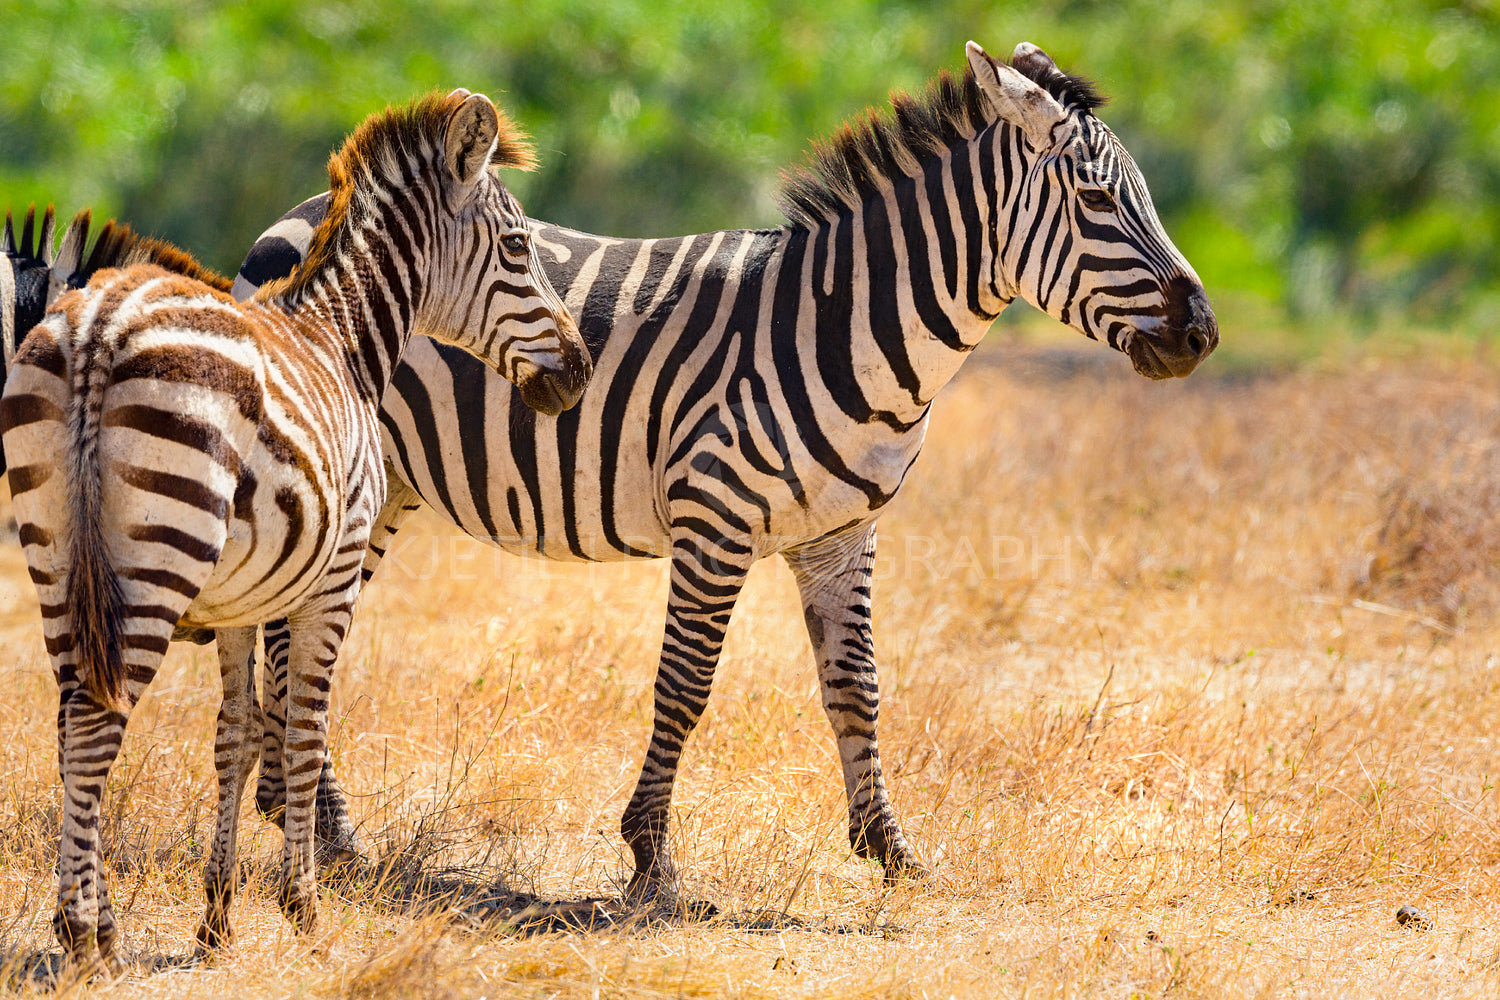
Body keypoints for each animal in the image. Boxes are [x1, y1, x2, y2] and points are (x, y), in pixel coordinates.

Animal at [5, 89, 591, 971]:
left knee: (74, 719)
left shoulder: (239, 603)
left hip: (57, 561)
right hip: (154, 561)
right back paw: (84, 934)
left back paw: (90, 924)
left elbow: (238, 733)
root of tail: (100, 322)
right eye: (520, 249)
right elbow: (305, 733)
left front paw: (217, 917)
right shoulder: (334, 578)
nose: (580, 371)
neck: (342, 342)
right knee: (98, 727)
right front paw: (303, 907)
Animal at [234, 43, 1218, 905]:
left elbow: (858, 687)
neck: (853, 329)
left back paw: (311, 823)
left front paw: (890, 848)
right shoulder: (715, 520)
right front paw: (650, 856)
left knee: (298, 636)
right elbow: (685, 685)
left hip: (384, 487)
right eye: (1096, 199)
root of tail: (299, 211)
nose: (1202, 335)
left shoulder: (843, 535)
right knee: (293, 638)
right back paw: (322, 832)